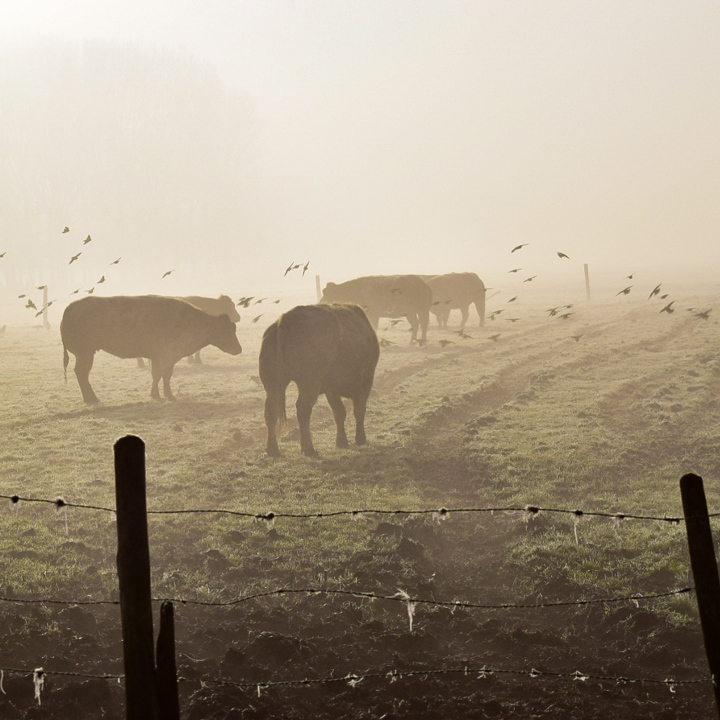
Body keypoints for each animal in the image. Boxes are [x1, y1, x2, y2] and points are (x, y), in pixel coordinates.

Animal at [62, 294, 242, 404]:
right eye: (226, 330)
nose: (238, 349)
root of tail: (70, 307)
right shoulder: (168, 357)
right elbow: (166, 375)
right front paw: (169, 395)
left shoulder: (156, 357)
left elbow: (156, 375)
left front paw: (155, 394)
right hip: (85, 354)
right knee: (82, 373)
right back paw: (92, 398)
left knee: (81, 373)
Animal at [260, 302, 382, 456]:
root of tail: (288, 319)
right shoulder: (365, 383)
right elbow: (358, 411)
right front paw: (360, 439)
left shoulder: (332, 390)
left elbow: (339, 412)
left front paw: (342, 442)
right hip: (309, 385)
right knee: (303, 409)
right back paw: (308, 449)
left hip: (272, 386)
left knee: (271, 411)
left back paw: (273, 450)